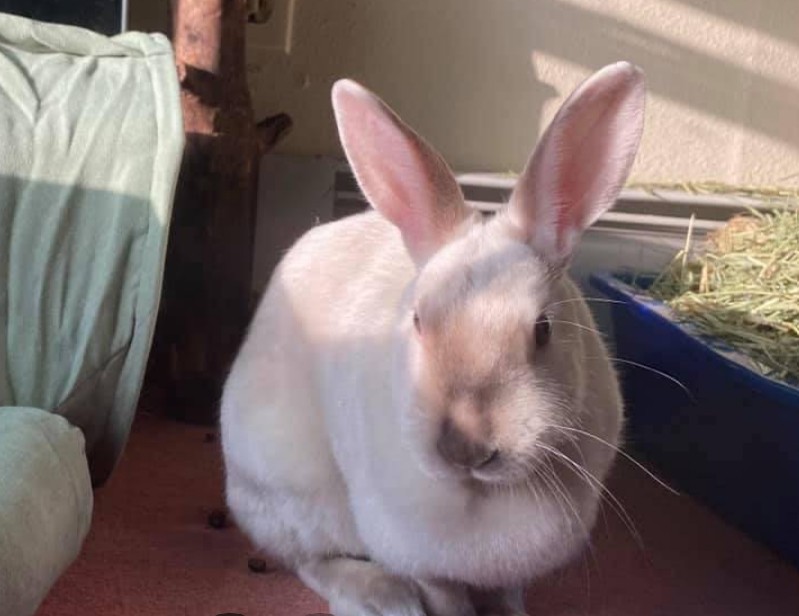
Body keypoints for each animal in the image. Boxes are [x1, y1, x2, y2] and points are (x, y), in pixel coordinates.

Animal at [220, 61, 646, 616]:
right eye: (419, 320)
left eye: (543, 329)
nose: (466, 446)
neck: (479, 496)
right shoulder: (423, 561)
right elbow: (445, 600)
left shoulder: (510, 575)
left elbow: (506, 597)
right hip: (297, 493)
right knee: (308, 559)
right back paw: (381, 597)